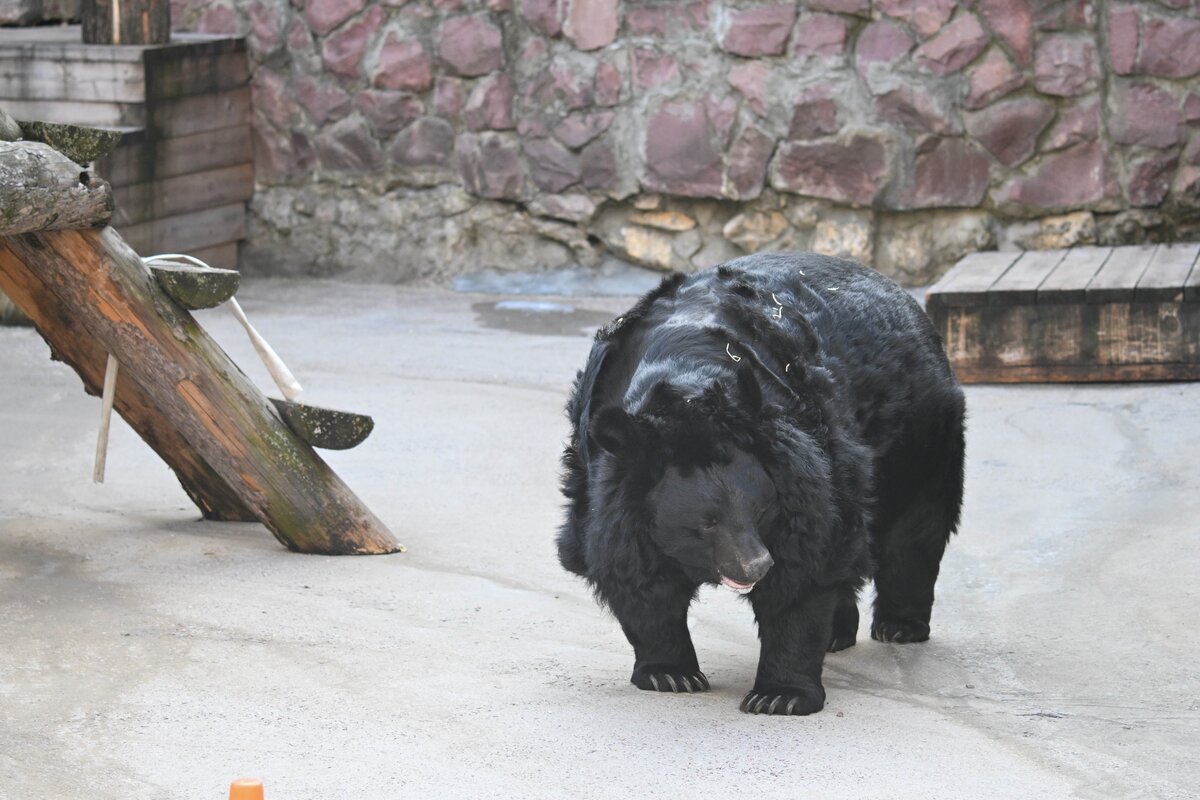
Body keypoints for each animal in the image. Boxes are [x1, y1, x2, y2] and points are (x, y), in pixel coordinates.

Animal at [556, 251, 965, 716]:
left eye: (760, 510)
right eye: (707, 523)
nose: (756, 565)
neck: (686, 382)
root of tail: (902, 296)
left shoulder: (802, 463)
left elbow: (805, 565)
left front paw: (779, 696)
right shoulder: (607, 484)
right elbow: (631, 567)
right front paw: (670, 674)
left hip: (920, 430)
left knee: (913, 527)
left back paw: (899, 626)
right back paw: (838, 633)